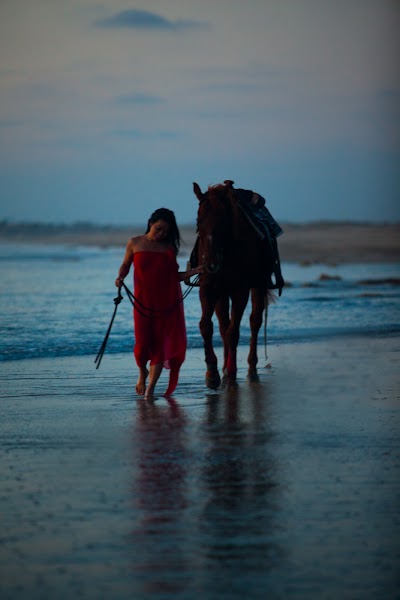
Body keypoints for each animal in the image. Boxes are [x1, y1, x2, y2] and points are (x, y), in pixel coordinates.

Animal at [190, 178, 282, 390]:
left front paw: (231, 374)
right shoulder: (209, 287)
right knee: (224, 325)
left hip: (257, 286)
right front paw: (213, 373)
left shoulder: (240, 291)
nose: (211, 264)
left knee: (254, 322)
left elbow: (234, 332)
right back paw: (224, 370)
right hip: (223, 292)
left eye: (223, 222)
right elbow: (206, 326)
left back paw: (251, 371)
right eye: (199, 221)